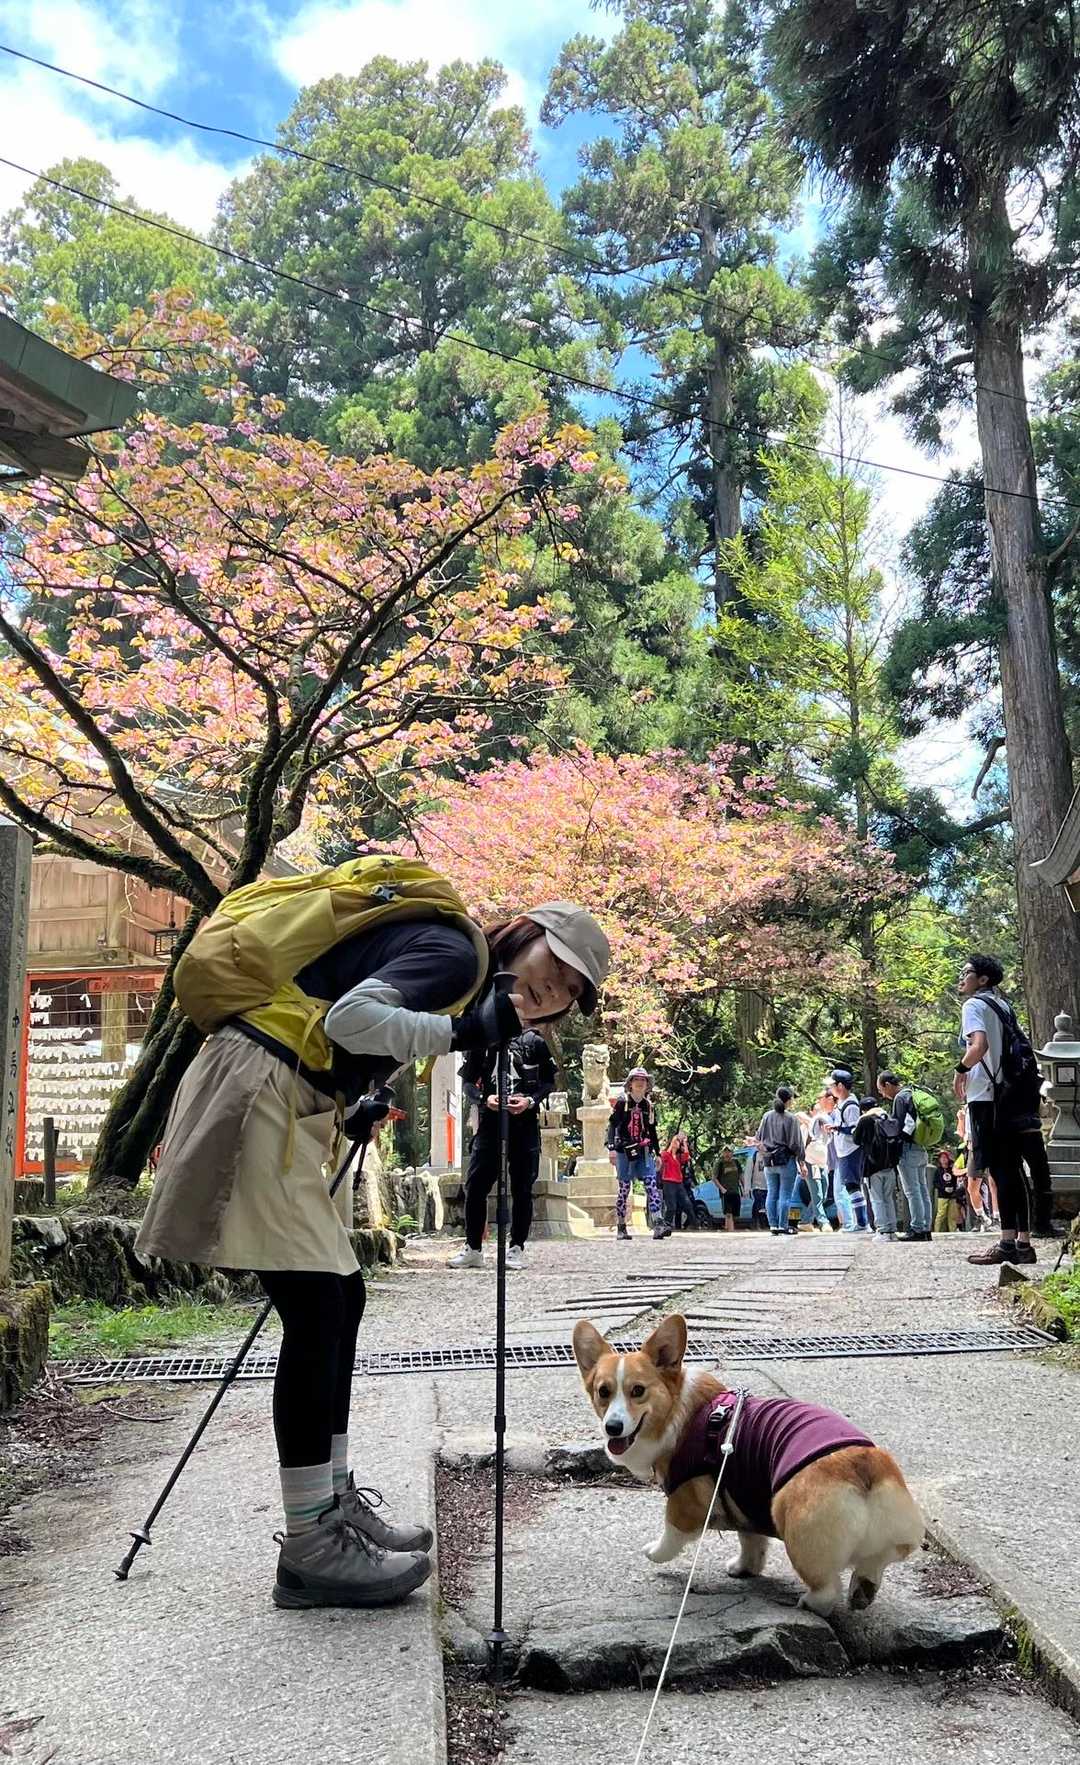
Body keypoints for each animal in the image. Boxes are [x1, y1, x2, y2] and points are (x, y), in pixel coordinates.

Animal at [572, 1312, 924, 1615]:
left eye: (638, 1391)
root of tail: (867, 1470)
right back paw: (862, 1591)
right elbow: (751, 1542)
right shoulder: (744, 1499)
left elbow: (671, 1534)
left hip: (788, 1513)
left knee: (827, 1589)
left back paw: (811, 1603)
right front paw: (744, 1569)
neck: (678, 1413)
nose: (612, 1427)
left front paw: (655, 1553)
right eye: (603, 1392)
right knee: (873, 1565)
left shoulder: (685, 1504)